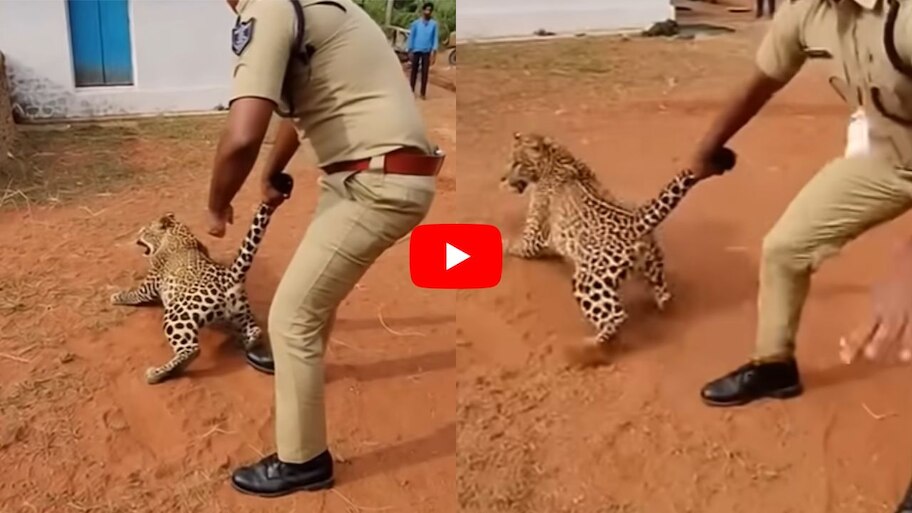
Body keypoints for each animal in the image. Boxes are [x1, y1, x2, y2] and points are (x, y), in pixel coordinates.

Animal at [110, 175, 293, 384]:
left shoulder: (150, 283)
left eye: (146, 231)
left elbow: (134, 294)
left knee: (191, 349)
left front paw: (116, 296)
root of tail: (229, 276)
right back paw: (247, 343)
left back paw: (157, 374)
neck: (177, 232)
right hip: (241, 311)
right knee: (255, 331)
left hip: (177, 313)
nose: (137, 234)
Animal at [500, 132, 735, 345]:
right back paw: (663, 309)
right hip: (652, 266)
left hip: (588, 281)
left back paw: (589, 345)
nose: (503, 178)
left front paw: (502, 242)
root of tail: (634, 220)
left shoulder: (534, 238)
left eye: (516, 163)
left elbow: (516, 244)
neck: (554, 157)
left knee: (616, 317)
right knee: (663, 294)